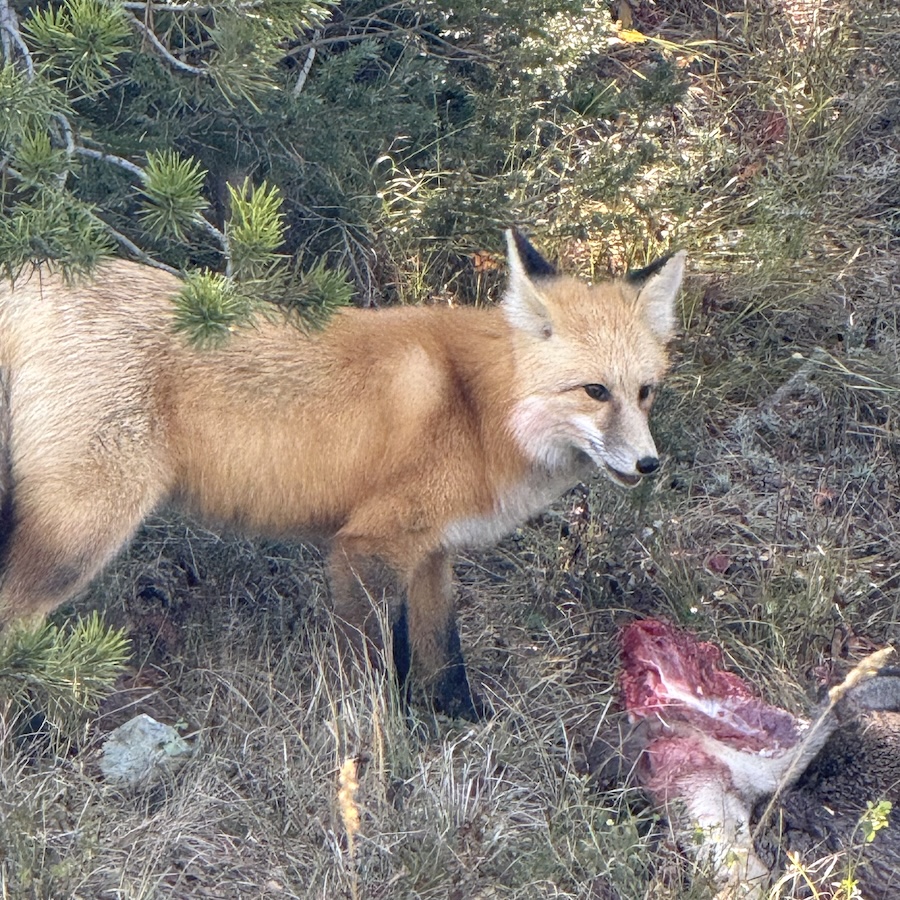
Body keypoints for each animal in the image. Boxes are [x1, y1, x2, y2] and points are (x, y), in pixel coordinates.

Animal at [0, 230, 685, 718]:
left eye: (645, 392)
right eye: (595, 391)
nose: (649, 464)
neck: (476, 406)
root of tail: (39, 272)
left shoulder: (430, 551)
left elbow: (444, 655)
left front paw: (460, 724)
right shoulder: (367, 545)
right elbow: (370, 671)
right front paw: (377, 748)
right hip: (81, 532)